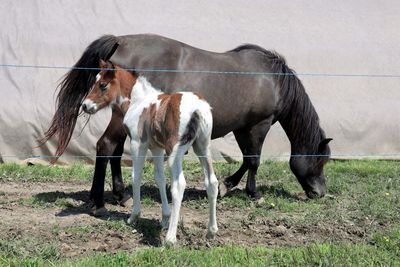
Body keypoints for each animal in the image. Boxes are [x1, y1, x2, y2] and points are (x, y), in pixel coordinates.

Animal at [42, 33, 332, 215]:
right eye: (321, 160)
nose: (319, 192)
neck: (273, 80)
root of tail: (121, 41)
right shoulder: (258, 125)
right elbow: (253, 160)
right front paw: (250, 192)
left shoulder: (242, 127)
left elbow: (247, 160)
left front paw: (228, 185)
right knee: (106, 145)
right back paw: (99, 202)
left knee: (114, 150)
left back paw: (121, 194)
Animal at [82, 61, 219, 247]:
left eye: (103, 85)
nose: (85, 105)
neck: (139, 101)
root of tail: (197, 108)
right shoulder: (157, 149)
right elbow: (159, 178)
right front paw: (164, 218)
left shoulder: (137, 144)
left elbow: (136, 176)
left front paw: (134, 216)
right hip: (202, 147)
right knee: (212, 182)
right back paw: (211, 231)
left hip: (175, 152)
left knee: (179, 185)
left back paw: (170, 238)